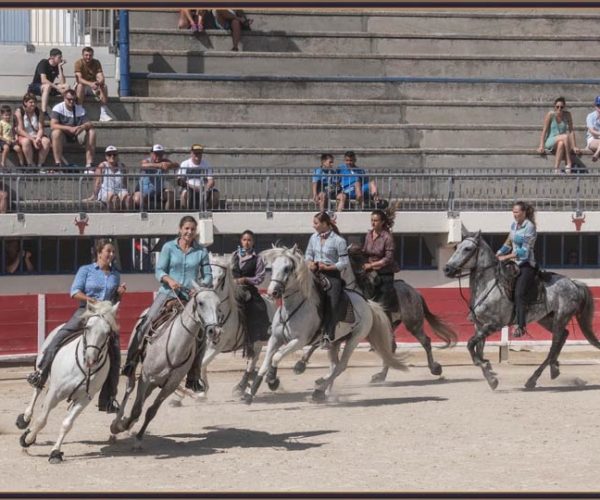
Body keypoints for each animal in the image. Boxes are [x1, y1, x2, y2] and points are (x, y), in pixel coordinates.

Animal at [17, 298, 119, 462]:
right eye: (87, 327)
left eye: (108, 332)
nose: (90, 359)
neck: (83, 368)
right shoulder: (55, 391)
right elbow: (42, 420)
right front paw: (27, 439)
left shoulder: (84, 399)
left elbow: (67, 423)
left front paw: (55, 452)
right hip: (42, 367)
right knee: (37, 390)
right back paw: (24, 418)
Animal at [109, 286, 221, 450]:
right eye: (201, 303)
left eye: (219, 304)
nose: (215, 331)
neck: (174, 347)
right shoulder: (146, 377)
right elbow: (136, 409)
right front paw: (121, 426)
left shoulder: (171, 385)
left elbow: (151, 411)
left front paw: (138, 438)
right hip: (136, 368)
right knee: (130, 388)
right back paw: (117, 424)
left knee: (143, 399)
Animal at [243, 244, 408, 404]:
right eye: (272, 267)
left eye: (287, 268)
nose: (273, 292)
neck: (292, 308)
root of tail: (367, 304)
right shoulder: (275, 338)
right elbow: (265, 362)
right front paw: (249, 393)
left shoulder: (299, 341)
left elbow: (276, 357)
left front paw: (272, 381)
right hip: (335, 342)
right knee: (334, 365)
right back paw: (324, 391)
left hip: (354, 339)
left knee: (341, 366)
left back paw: (319, 391)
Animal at [292, 246, 458, 382]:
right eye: (357, 256)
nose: (374, 277)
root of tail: (415, 292)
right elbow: (318, 343)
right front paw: (301, 364)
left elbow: (318, 343)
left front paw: (300, 365)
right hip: (391, 325)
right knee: (392, 347)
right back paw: (381, 376)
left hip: (413, 323)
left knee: (425, 342)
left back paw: (435, 368)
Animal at [442, 231, 596, 390]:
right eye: (457, 247)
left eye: (467, 249)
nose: (447, 269)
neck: (489, 286)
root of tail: (573, 283)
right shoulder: (479, 325)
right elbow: (477, 349)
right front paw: (490, 376)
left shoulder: (493, 325)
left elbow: (470, 344)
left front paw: (489, 372)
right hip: (546, 319)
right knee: (563, 336)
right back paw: (553, 368)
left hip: (561, 317)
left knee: (555, 343)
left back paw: (534, 378)